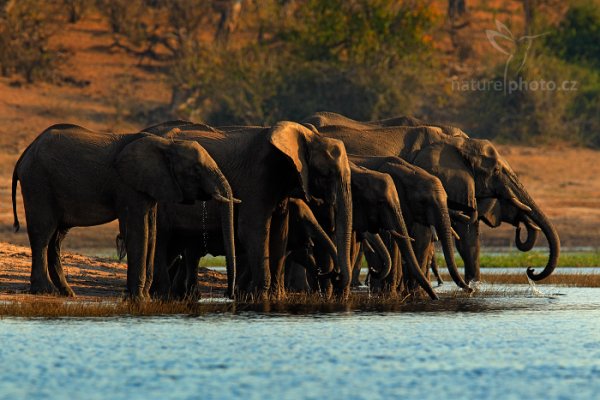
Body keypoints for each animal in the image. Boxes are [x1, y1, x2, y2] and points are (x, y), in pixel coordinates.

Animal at [11, 123, 237, 298]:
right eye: (196, 169)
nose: (229, 294)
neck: (166, 145)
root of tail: (24, 154)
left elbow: (151, 232)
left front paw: (142, 296)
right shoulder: (128, 186)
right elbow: (139, 231)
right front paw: (138, 298)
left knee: (56, 238)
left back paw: (67, 293)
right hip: (38, 183)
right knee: (43, 233)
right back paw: (45, 291)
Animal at [138, 120, 354, 298]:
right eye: (328, 173)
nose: (335, 276)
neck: (307, 136)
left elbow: (279, 232)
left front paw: (275, 296)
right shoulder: (257, 177)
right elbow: (252, 229)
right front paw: (260, 296)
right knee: (162, 240)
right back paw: (163, 294)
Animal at [304, 112, 564, 282]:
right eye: (497, 171)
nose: (531, 270)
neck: (456, 141)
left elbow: (468, 237)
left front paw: (474, 286)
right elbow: (425, 233)